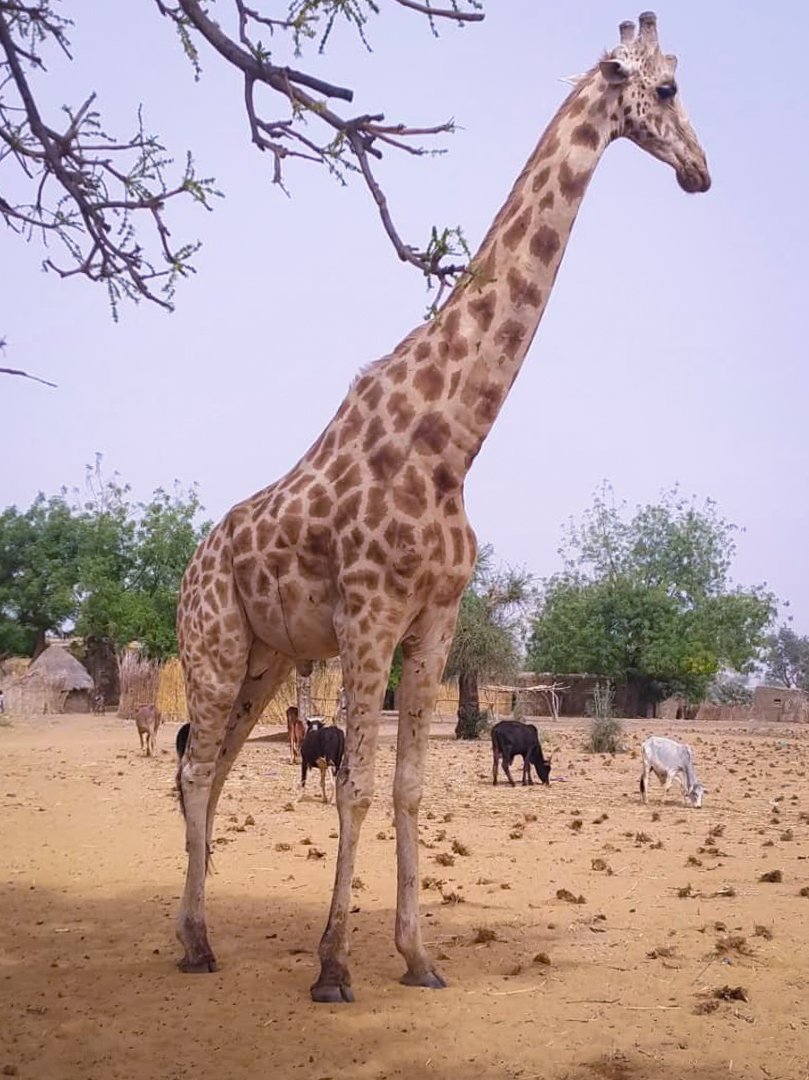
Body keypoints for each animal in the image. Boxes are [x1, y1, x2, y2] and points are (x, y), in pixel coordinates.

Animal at [175, 11, 710, 1001]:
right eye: (663, 89)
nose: (699, 168)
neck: (452, 440)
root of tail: (191, 567)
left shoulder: (434, 621)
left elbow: (410, 787)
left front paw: (418, 958)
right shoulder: (370, 614)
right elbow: (354, 785)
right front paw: (333, 969)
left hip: (266, 659)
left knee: (214, 769)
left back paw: (201, 932)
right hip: (215, 646)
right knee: (195, 771)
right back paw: (192, 942)